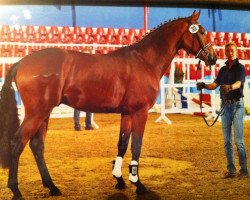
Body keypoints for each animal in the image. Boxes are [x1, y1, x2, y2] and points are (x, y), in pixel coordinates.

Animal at [0, 11, 216, 200]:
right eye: (201, 31)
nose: (213, 57)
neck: (145, 60)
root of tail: (21, 62)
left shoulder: (127, 113)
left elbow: (122, 144)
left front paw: (119, 179)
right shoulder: (140, 113)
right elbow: (136, 146)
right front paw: (138, 184)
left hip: (44, 114)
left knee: (37, 146)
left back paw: (52, 186)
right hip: (36, 113)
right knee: (17, 143)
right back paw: (16, 190)